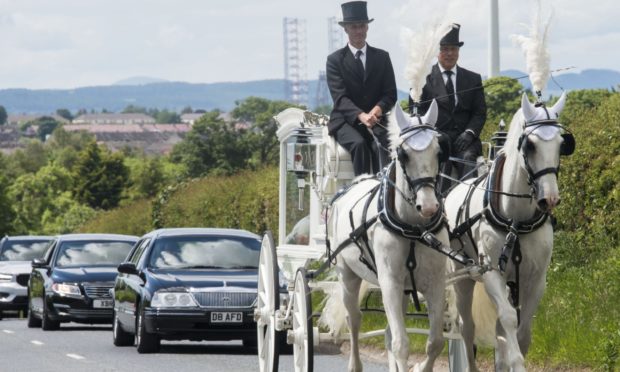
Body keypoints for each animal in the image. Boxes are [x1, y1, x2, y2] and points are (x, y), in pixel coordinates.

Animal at [330, 100, 450, 370]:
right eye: (403, 154)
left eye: (439, 152)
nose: (429, 207)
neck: (414, 229)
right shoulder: (390, 283)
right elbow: (401, 344)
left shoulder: (435, 283)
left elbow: (435, 342)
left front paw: (420, 366)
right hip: (348, 276)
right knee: (354, 320)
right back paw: (354, 364)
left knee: (386, 332)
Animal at [446, 91, 576, 372]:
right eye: (530, 145)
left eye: (563, 144)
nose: (549, 198)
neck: (516, 220)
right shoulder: (492, 273)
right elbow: (508, 320)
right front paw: (515, 362)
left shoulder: (535, 279)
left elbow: (523, 330)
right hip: (463, 278)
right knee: (467, 327)